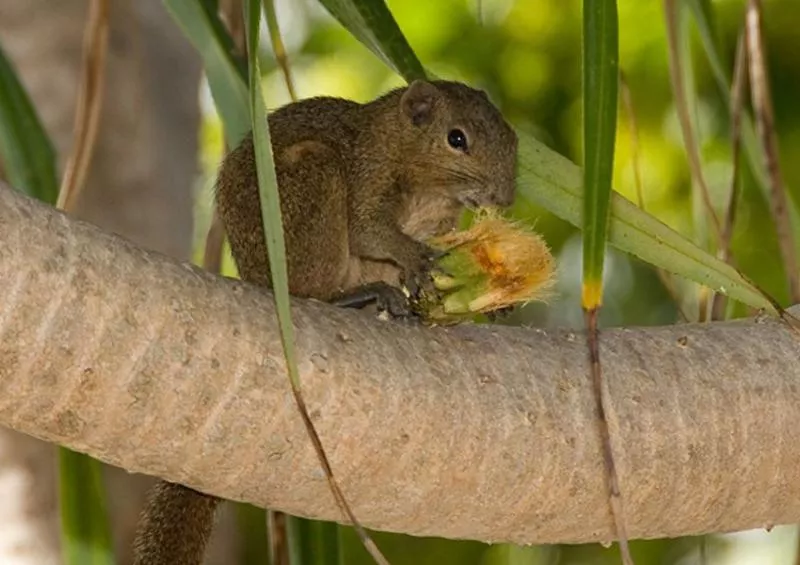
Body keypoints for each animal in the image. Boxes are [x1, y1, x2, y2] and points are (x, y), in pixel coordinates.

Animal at [131, 79, 520, 564]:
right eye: (457, 139)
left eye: (513, 139)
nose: (504, 197)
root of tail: (258, 279)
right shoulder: (366, 175)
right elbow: (369, 230)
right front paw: (419, 258)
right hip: (314, 181)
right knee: (311, 290)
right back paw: (358, 297)